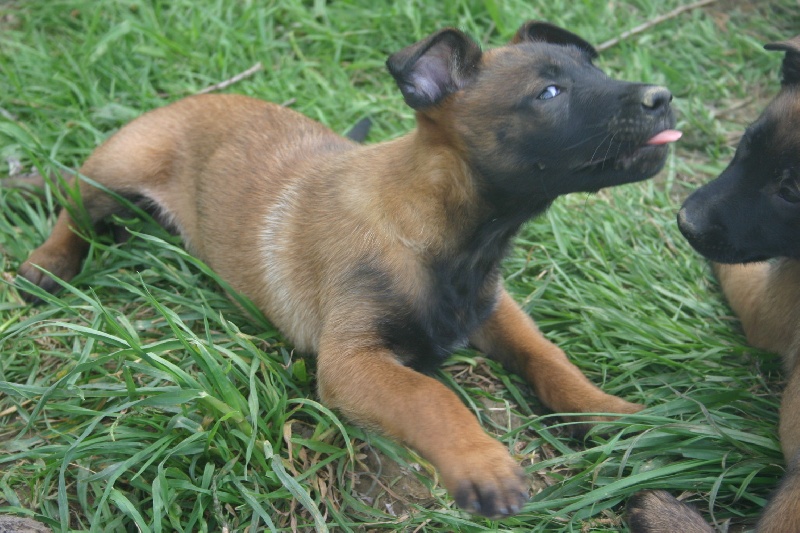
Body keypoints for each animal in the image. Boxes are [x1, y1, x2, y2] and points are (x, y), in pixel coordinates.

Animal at [16, 21, 679, 518]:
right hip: (115, 172)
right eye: (549, 94)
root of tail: (189, 99)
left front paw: (609, 413)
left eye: (595, 73)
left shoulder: (493, 309)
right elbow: (431, 397)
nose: (663, 97)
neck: (442, 236)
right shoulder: (351, 361)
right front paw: (481, 462)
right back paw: (44, 267)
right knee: (72, 212)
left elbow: (548, 357)